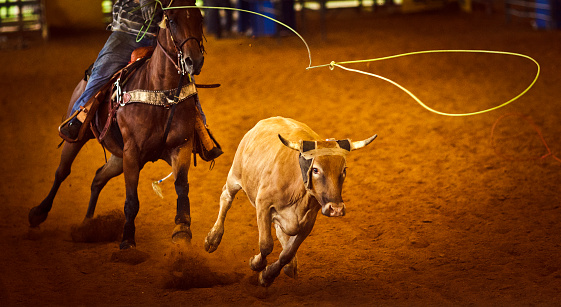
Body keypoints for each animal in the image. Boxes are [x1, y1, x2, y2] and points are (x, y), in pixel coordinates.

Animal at [27, 0, 206, 250]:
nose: (194, 61)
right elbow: (131, 200)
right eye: (172, 20)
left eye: (200, 18)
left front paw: (182, 231)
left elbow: (181, 188)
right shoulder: (132, 152)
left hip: (117, 156)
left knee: (98, 178)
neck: (161, 93)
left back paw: (87, 225)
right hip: (78, 138)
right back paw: (38, 213)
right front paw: (127, 241)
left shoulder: (181, 146)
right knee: (62, 172)